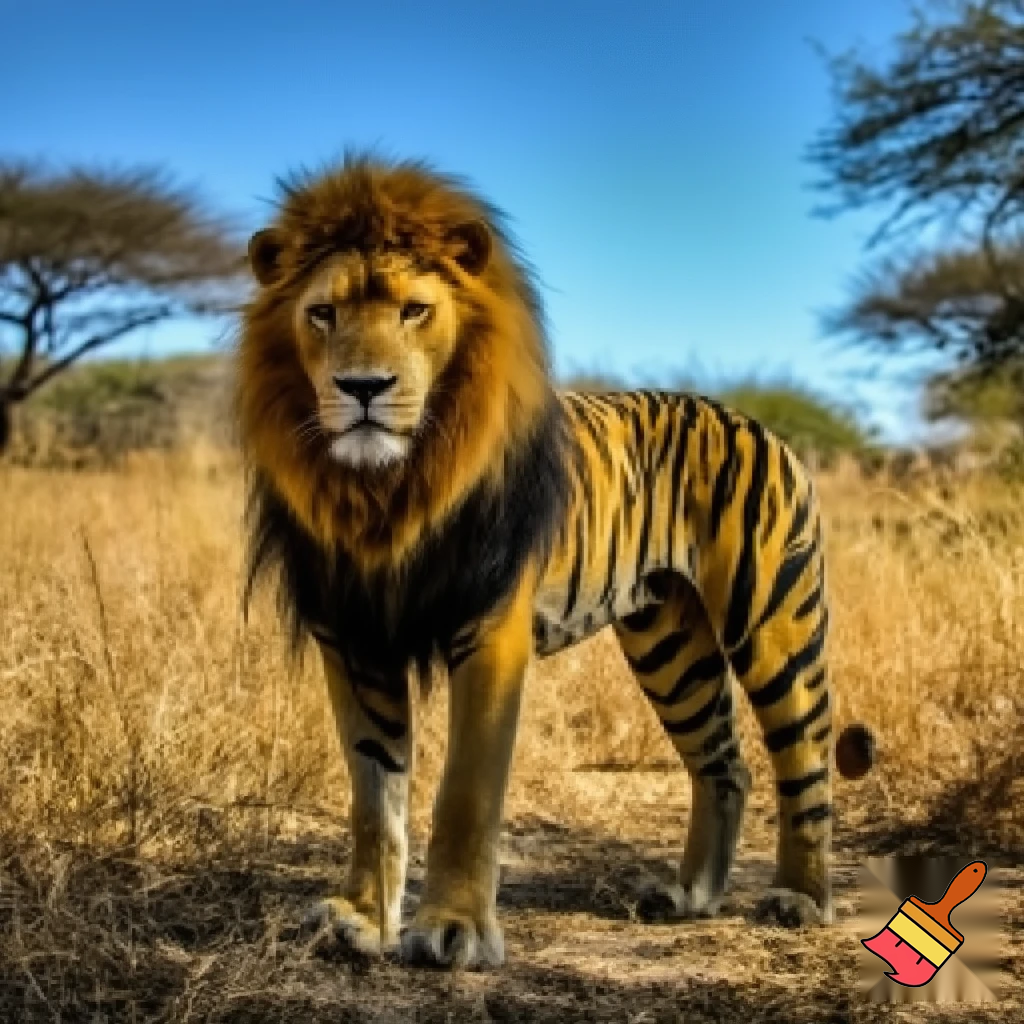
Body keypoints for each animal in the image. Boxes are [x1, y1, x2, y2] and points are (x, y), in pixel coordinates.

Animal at [237, 153, 872, 970]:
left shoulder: (490, 629)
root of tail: (754, 420)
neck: (385, 492)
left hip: (771, 620)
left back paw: (801, 898)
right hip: (670, 644)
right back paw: (688, 896)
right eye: (323, 314)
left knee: (806, 756)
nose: (364, 388)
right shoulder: (353, 638)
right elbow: (374, 796)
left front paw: (454, 931)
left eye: (414, 311)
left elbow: (465, 793)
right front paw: (363, 920)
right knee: (722, 762)